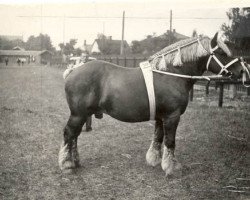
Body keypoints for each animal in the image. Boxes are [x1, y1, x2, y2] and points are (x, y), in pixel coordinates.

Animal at [59, 32, 246, 176]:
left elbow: (158, 137)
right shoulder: (172, 116)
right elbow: (170, 141)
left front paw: (154, 160)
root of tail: (73, 71)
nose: (242, 70)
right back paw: (67, 165)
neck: (170, 74)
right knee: (70, 134)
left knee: (75, 136)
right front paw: (171, 167)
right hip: (78, 114)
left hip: (83, 115)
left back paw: (75, 161)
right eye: (221, 52)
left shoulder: (160, 117)